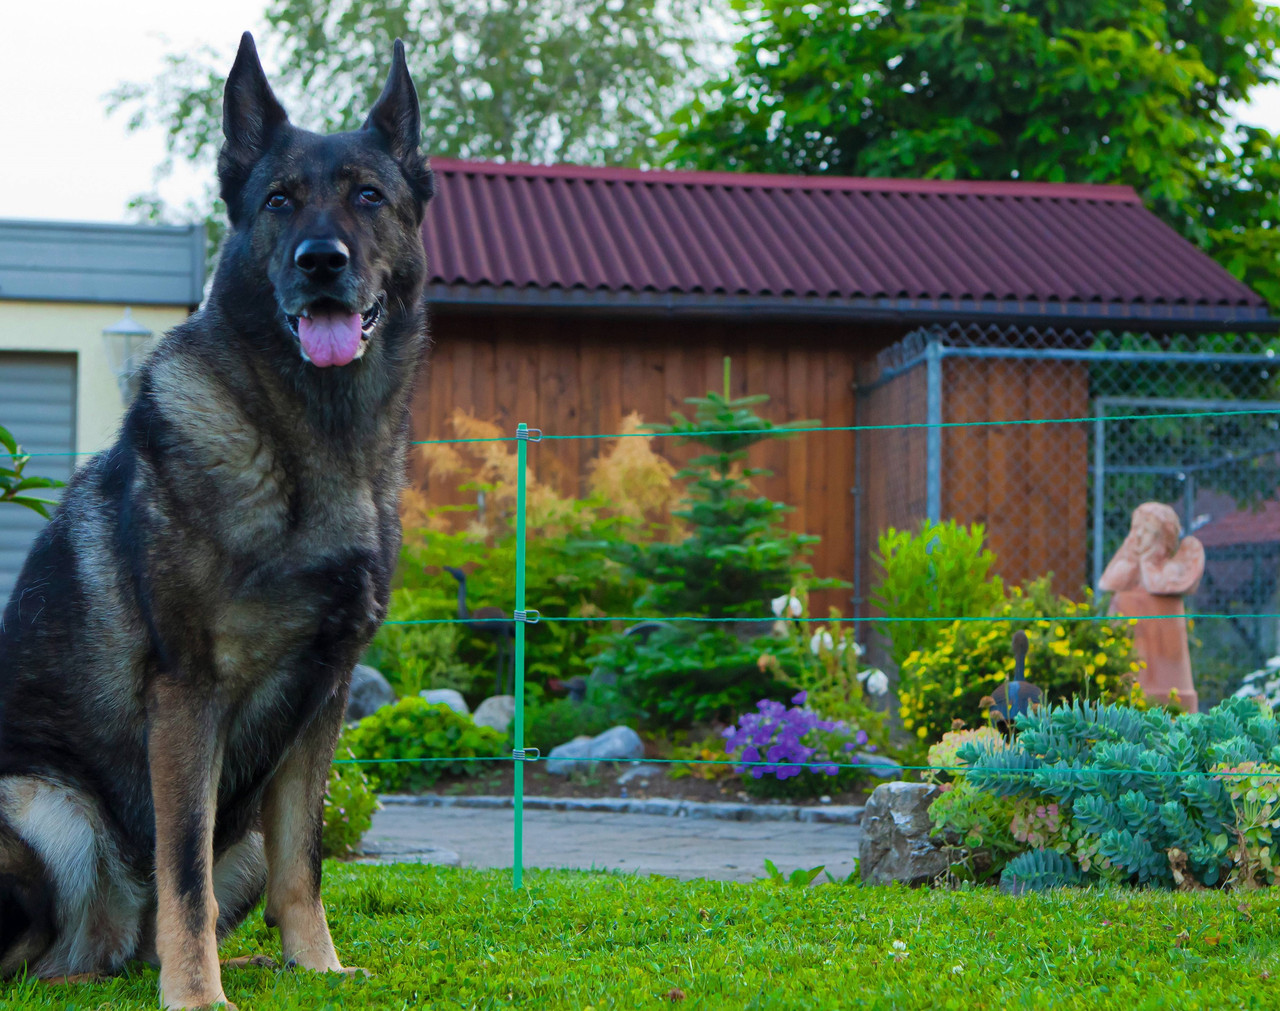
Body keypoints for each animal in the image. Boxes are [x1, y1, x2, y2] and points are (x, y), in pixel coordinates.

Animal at [0, 33, 435, 1011]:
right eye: (279, 200)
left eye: (369, 195)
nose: (321, 260)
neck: (312, 440)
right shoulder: (188, 696)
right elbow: (183, 868)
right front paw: (196, 994)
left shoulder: (324, 697)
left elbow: (304, 862)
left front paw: (318, 965)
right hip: (42, 805)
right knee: (52, 951)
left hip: (235, 830)